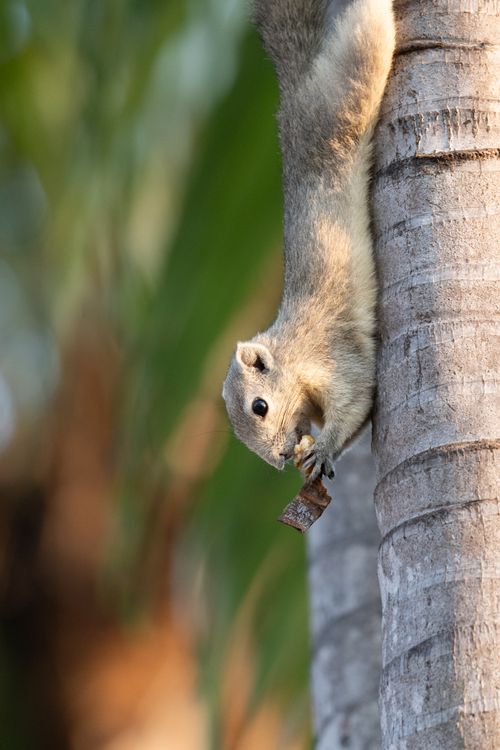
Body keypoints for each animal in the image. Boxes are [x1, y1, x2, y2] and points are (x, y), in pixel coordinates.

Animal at [222, 0, 395, 481]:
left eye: (259, 406)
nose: (280, 459)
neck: (292, 352)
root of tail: (293, 94)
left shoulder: (332, 356)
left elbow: (358, 396)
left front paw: (323, 449)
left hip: (344, 98)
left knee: (368, 33)